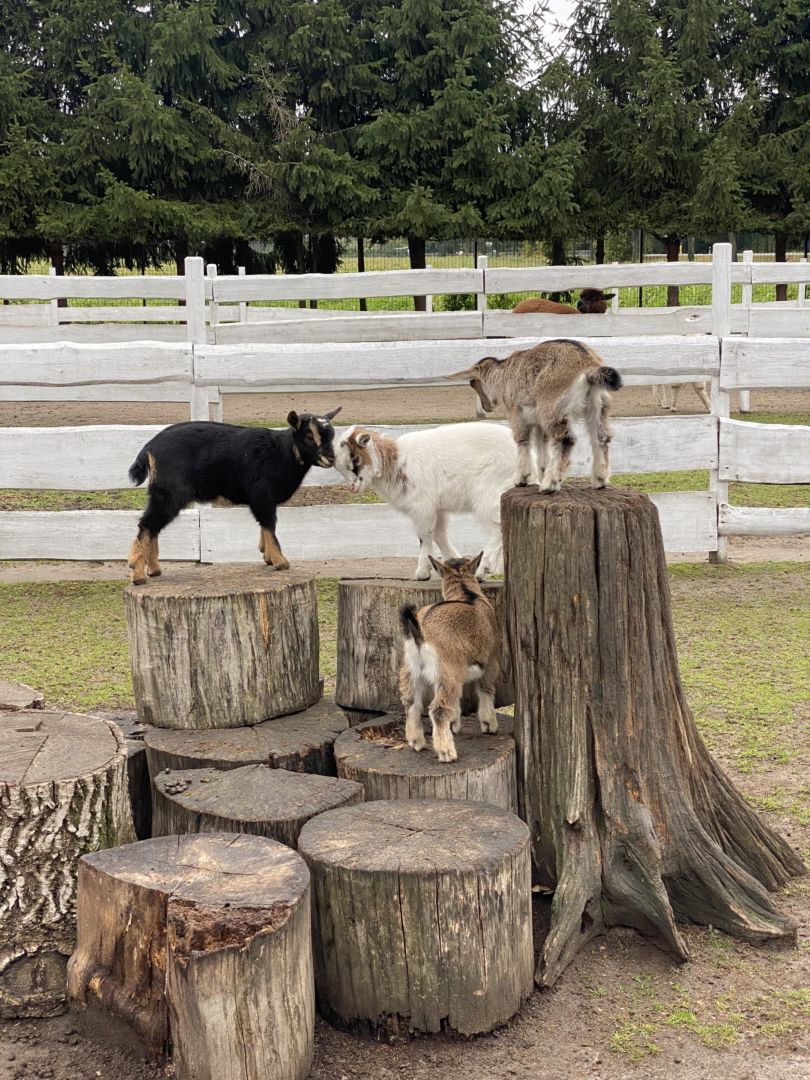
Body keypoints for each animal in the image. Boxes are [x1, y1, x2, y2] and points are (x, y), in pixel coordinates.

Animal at [126, 409, 341, 584]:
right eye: (309, 436)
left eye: (331, 435)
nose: (331, 458)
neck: (279, 453)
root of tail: (149, 448)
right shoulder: (262, 496)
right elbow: (269, 524)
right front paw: (280, 562)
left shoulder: (262, 500)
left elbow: (264, 526)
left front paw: (266, 556)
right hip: (169, 494)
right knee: (146, 525)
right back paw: (138, 574)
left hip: (162, 494)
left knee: (152, 527)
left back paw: (153, 569)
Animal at [334, 422, 516, 579]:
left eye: (355, 459)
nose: (351, 487)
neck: (395, 461)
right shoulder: (437, 508)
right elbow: (439, 534)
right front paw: (453, 562)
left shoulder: (422, 506)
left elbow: (425, 536)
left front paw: (422, 572)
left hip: (489, 492)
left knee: (498, 525)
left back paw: (482, 568)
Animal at [399, 553, 499, 763]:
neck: (467, 594)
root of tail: (419, 629)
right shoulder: (490, 658)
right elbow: (486, 688)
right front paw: (489, 724)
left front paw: (454, 723)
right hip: (447, 669)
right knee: (438, 709)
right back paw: (446, 752)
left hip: (412, 668)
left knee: (411, 701)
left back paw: (416, 741)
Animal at [445, 339, 622, 493]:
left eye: (473, 383)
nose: (486, 407)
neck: (503, 375)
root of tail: (589, 365)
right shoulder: (537, 421)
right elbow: (541, 444)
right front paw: (542, 472)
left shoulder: (517, 412)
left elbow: (522, 440)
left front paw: (521, 479)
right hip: (598, 405)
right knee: (601, 436)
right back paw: (600, 480)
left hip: (552, 406)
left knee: (565, 439)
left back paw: (550, 484)